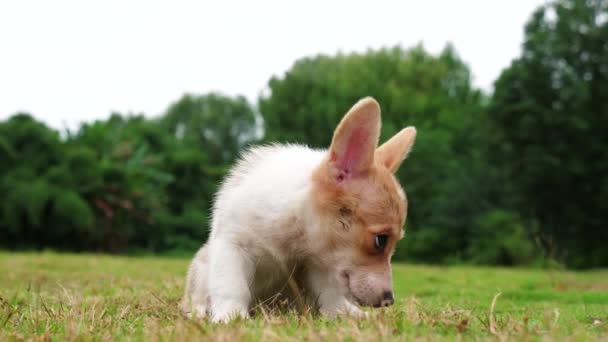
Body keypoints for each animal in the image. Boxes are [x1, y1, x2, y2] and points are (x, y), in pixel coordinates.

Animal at [180, 97, 418, 322]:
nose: (388, 300)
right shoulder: (233, 244)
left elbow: (331, 299)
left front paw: (344, 315)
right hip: (202, 267)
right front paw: (231, 317)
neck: (298, 238)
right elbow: (231, 286)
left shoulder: (318, 267)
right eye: (381, 241)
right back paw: (197, 311)